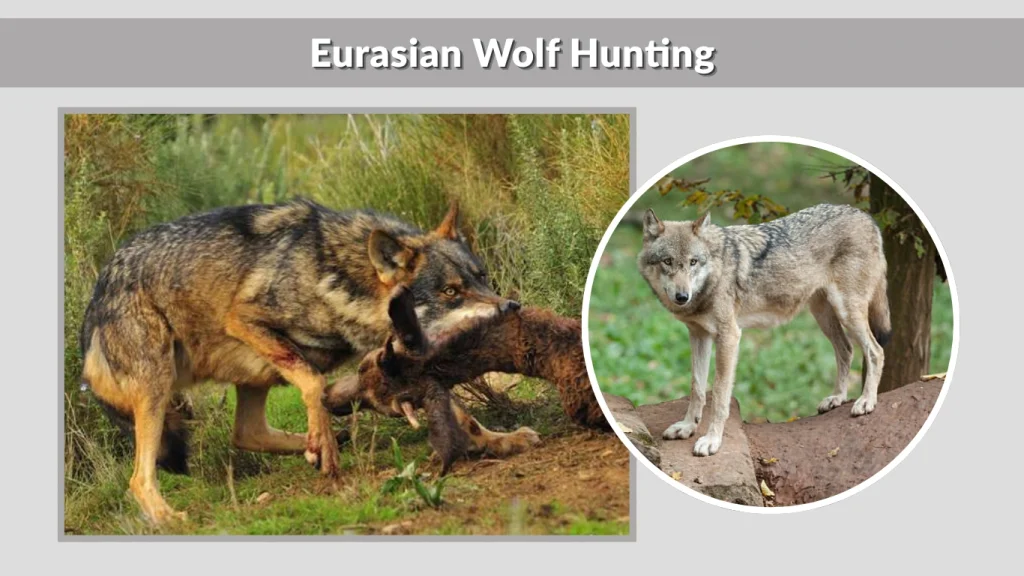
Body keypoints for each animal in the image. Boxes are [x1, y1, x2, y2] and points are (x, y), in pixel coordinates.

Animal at [77, 198, 520, 524]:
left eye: (482, 277)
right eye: (450, 292)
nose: (512, 308)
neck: (336, 274)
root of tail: (98, 290)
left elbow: (460, 412)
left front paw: (501, 439)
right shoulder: (243, 318)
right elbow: (313, 383)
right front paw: (324, 444)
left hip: (249, 376)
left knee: (246, 433)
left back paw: (322, 442)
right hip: (159, 387)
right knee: (139, 479)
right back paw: (170, 518)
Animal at [637, 203, 891, 457]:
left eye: (693, 262)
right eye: (667, 261)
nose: (682, 296)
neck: (715, 272)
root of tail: (866, 216)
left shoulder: (729, 336)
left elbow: (719, 394)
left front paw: (712, 440)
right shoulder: (699, 335)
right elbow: (697, 387)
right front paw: (687, 426)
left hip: (847, 312)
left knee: (876, 351)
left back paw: (866, 401)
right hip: (824, 315)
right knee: (847, 349)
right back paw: (837, 398)